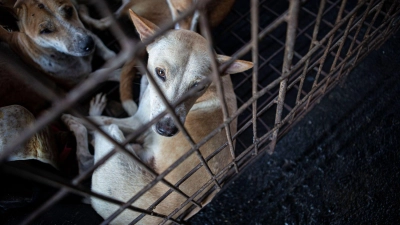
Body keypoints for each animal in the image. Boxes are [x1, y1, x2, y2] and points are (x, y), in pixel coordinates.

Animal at [62, 10, 252, 223]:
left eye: (199, 86)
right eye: (160, 72)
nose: (166, 130)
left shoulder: (137, 122)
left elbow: (97, 120)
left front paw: (76, 117)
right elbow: (143, 79)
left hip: (114, 139)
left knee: (89, 154)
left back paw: (80, 122)